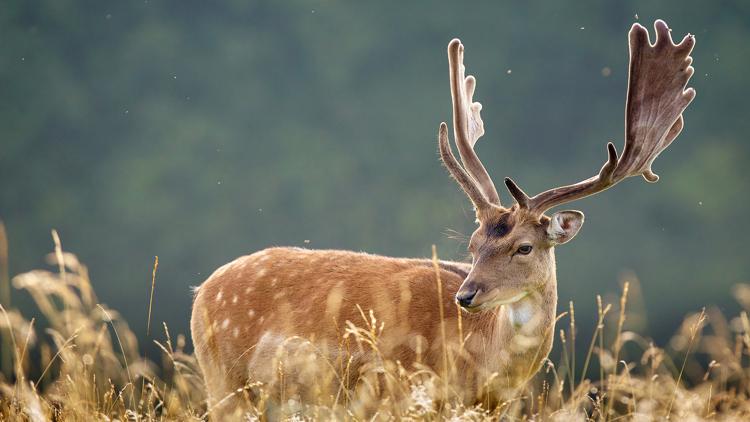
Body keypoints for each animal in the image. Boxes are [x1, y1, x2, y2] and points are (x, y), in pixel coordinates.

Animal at [192, 20, 700, 418]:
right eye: (473, 245)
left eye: (524, 246)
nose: (466, 295)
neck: (482, 367)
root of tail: (201, 292)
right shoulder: (398, 394)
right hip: (225, 384)